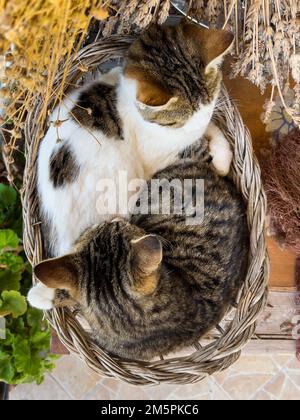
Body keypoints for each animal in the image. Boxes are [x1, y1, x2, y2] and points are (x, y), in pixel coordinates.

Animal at [28, 22, 234, 308]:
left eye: (210, 102)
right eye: (182, 116)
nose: (200, 121)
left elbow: (211, 131)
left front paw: (218, 144)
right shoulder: (163, 153)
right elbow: (200, 147)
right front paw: (221, 160)